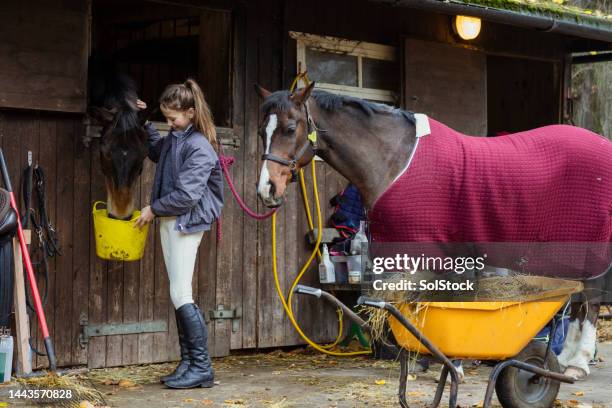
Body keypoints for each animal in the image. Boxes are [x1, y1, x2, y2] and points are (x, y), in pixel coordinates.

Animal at [253, 83, 612, 380]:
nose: (266, 190)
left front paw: (436, 360)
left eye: (289, 128)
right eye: (261, 132)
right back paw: (564, 361)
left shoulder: (421, 248)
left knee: (591, 301)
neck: (395, 159)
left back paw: (576, 363)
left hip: (588, 246)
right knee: (580, 300)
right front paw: (431, 357)